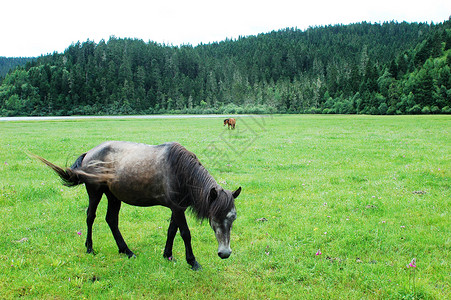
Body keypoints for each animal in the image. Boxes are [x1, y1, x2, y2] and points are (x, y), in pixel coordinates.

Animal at [33, 142, 242, 270]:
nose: (225, 253)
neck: (180, 172)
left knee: (111, 220)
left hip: (113, 196)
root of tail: (89, 154)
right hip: (95, 192)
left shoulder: (177, 208)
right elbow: (185, 233)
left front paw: (167, 255)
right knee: (90, 217)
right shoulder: (177, 208)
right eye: (214, 218)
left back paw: (126, 251)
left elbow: (171, 231)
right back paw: (90, 248)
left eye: (233, 218)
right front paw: (192, 262)